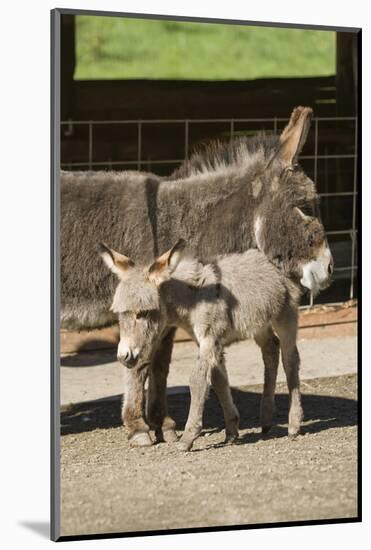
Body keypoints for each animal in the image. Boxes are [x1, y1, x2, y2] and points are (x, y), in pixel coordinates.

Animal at [100, 242, 304, 452]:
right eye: (120, 314)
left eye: (143, 313)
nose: (123, 356)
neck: (192, 299)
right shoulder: (208, 342)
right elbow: (218, 380)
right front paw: (231, 430)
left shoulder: (209, 339)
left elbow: (197, 380)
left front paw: (188, 437)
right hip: (259, 325)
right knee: (271, 350)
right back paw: (266, 420)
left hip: (285, 316)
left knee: (290, 360)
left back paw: (294, 424)